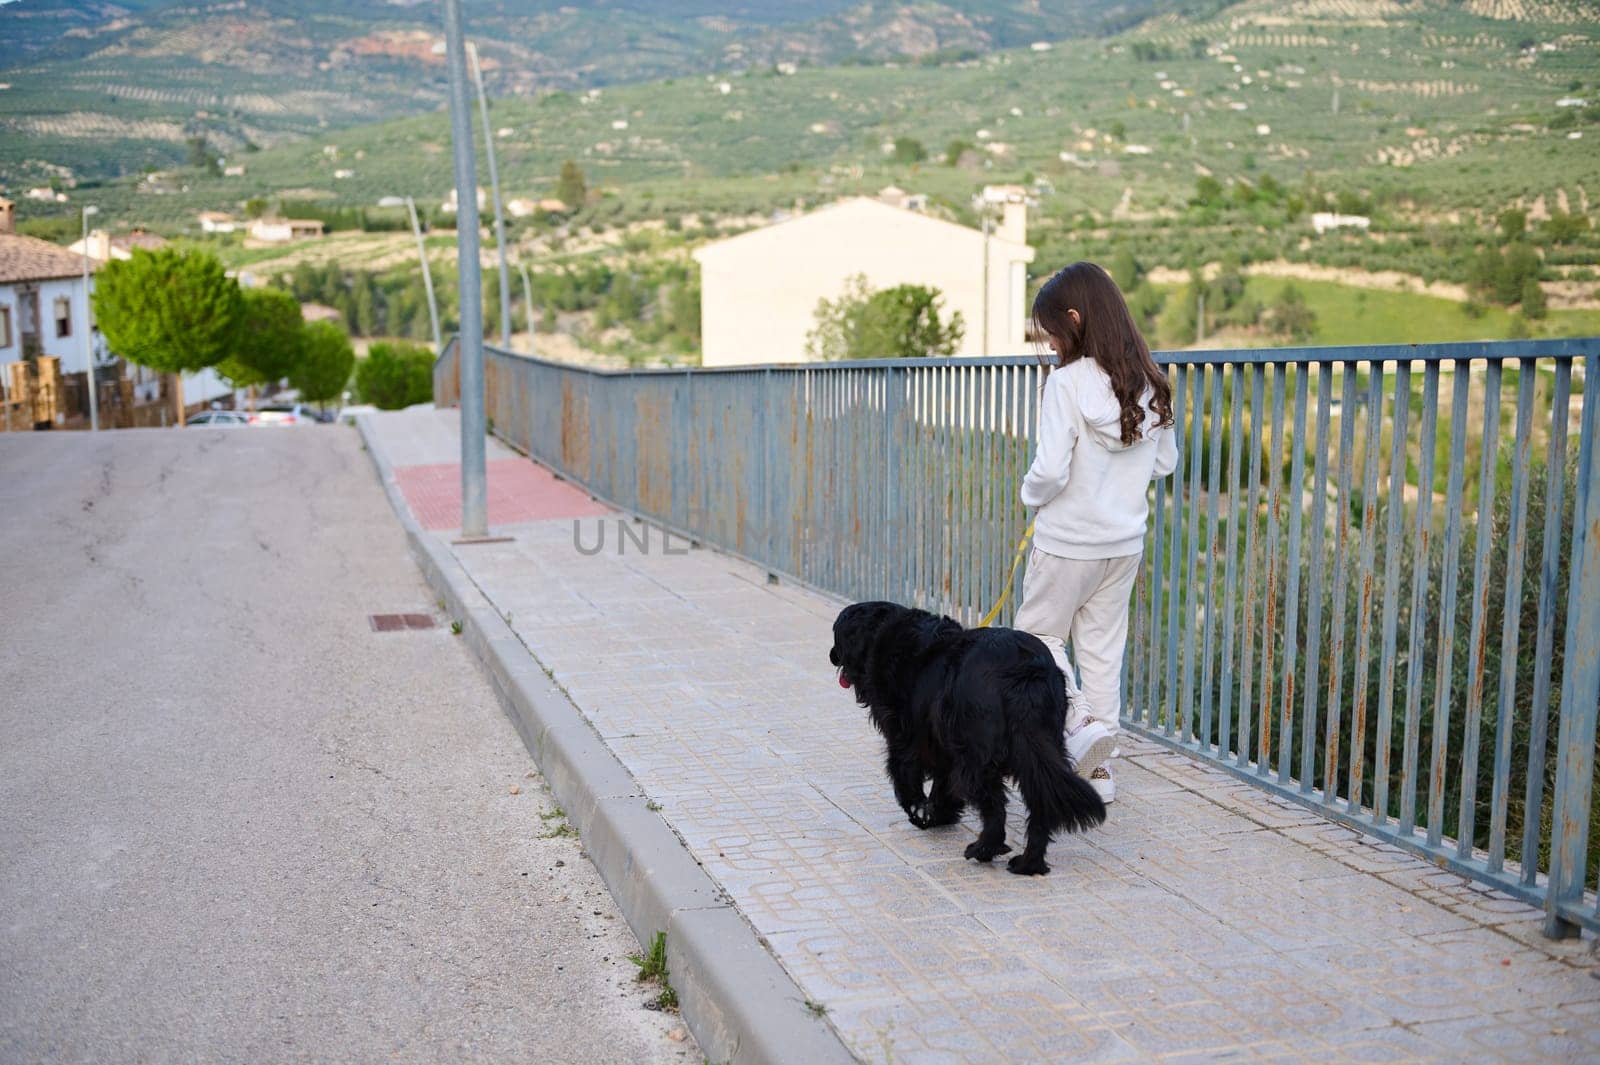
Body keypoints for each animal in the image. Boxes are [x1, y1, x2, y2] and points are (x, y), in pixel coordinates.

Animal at [832, 591, 1107, 876]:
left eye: (836, 635)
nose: (832, 655)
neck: (883, 632)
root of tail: (1024, 669)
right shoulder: (940, 743)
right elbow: (942, 784)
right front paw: (939, 813)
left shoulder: (906, 737)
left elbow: (905, 774)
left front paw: (920, 812)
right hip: (1041, 750)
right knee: (1040, 804)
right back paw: (1028, 863)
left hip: (976, 756)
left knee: (995, 807)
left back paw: (984, 849)